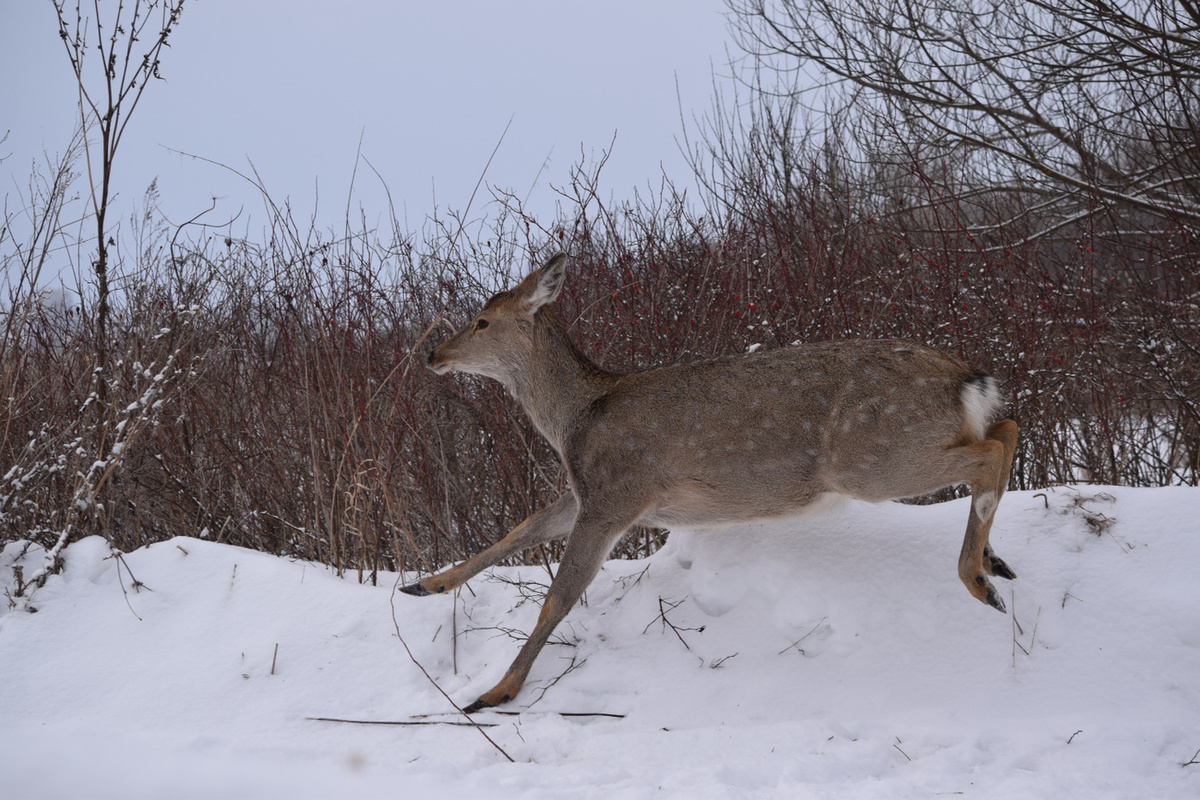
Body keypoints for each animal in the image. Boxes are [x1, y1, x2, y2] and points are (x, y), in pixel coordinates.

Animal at [400, 251, 1012, 714]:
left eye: (483, 321)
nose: (433, 354)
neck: (575, 418)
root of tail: (969, 380)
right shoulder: (591, 492)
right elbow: (522, 528)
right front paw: (424, 585)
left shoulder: (615, 492)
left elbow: (559, 595)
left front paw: (496, 692)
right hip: (898, 447)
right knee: (1004, 429)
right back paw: (993, 561)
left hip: (870, 457)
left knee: (993, 451)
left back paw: (979, 580)